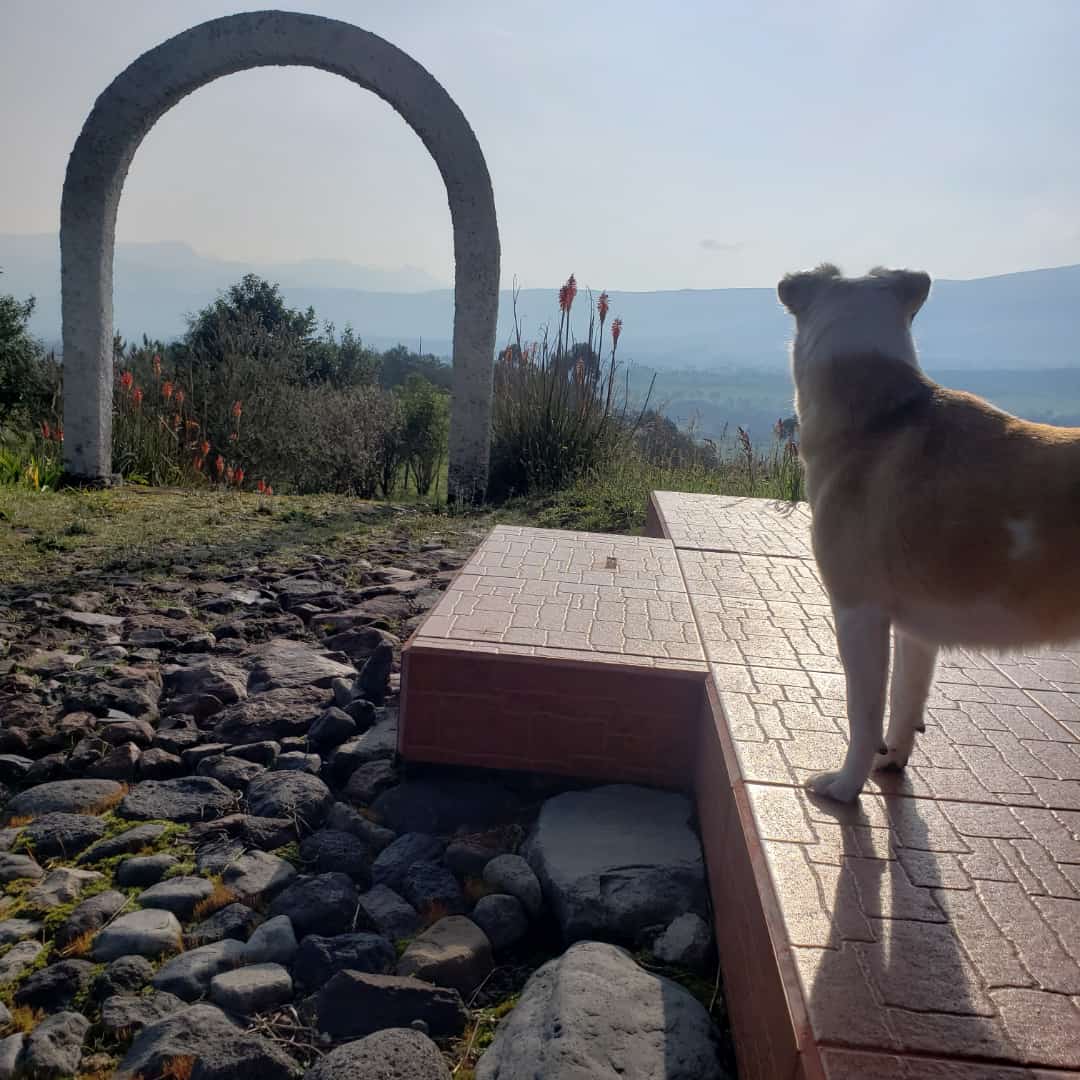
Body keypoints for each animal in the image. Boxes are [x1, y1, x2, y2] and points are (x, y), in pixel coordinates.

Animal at [777, 264, 1080, 803]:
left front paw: (844, 786)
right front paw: (890, 762)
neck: (882, 415)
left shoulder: (858, 612)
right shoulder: (916, 631)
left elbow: (863, 713)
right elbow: (904, 701)